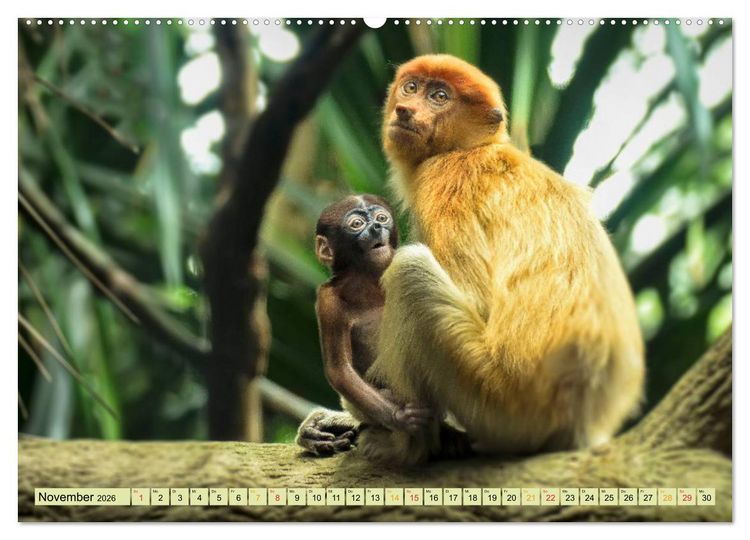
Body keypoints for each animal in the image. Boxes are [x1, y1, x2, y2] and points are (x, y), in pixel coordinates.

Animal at [295, 195, 434, 456]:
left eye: (382, 217)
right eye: (357, 224)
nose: (377, 227)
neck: (368, 283)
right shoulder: (327, 299)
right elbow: (339, 369)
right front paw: (401, 417)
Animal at [355, 54, 645, 466]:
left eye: (440, 96)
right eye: (411, 87)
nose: (404, 110)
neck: (466, 148)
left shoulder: (443, 185)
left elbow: (478, 302)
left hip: (498, 399)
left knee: (410, 273)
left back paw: (407, 448)